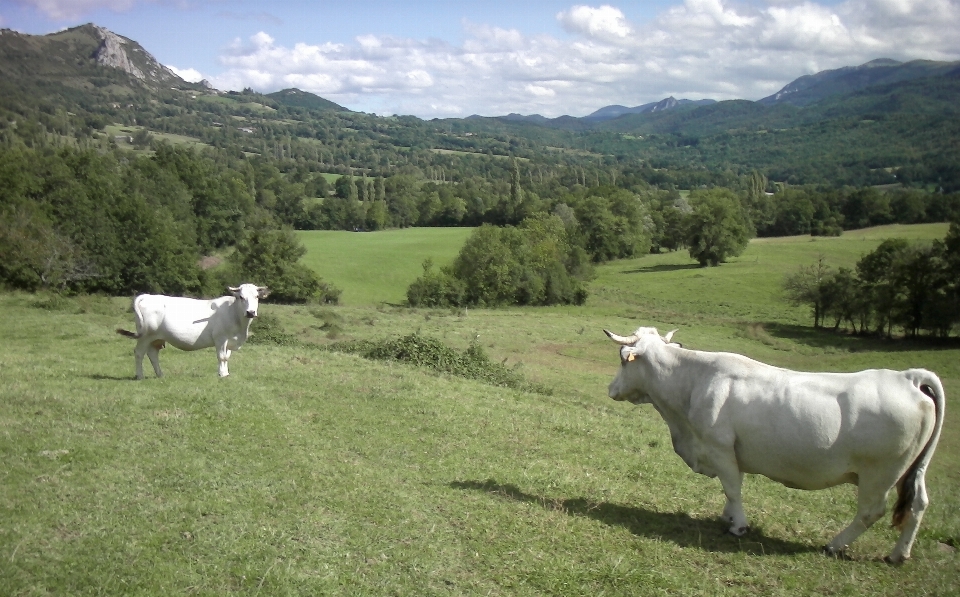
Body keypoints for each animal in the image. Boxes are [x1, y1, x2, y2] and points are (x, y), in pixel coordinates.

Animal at [116, 282, 268, 378]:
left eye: (256, 296)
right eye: (241, 297)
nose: (250, 312)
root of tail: (148, 296)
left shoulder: (230, 340)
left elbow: (226, 357)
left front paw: (226, 373)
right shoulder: (220, 338)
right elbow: (221, 357)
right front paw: (222, 374)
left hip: (156, 337)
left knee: (153, 354)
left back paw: (160, 374)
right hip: (145, 336)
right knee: (139, 353)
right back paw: (140, 375)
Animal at [604, 326, 940, 564]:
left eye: (622, 357)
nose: (610, 389)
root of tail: (907, 377)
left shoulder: (719, 447)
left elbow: (733, 488)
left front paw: (738, 526)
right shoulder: (731, 453)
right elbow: (731, 487)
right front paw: (728, 516)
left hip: (879, 474)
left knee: (871, 511)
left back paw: (834, 544)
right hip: (911, 472)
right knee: (918, 504)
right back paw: (898, 555)